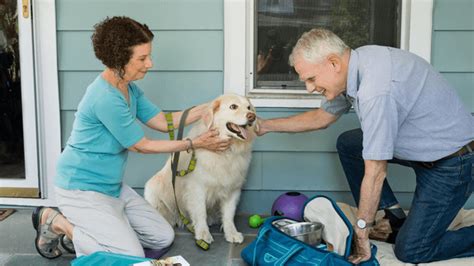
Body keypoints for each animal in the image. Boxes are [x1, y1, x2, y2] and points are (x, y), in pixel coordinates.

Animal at [144, 93, 258, 243]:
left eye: (249, 107)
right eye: (233, 106)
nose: (252, 117)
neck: (227, 152)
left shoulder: (232, 188)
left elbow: (229, 214)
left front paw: (231, 233)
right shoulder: (197, 188)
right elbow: (200, 212)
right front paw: (203, 234)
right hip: (152, 187)